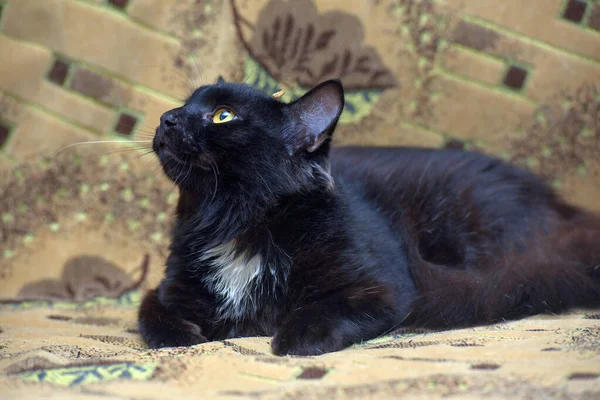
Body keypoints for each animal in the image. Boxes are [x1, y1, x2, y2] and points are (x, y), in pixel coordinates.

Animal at [138, 78, 600, 356]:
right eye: (186, 103)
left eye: (223, 115)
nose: (167, 118)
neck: (233, 224)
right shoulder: (168, 288)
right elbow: (152, 315)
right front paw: (183, 335)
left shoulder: (383, 289)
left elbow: (329, 309)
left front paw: (295, 336)